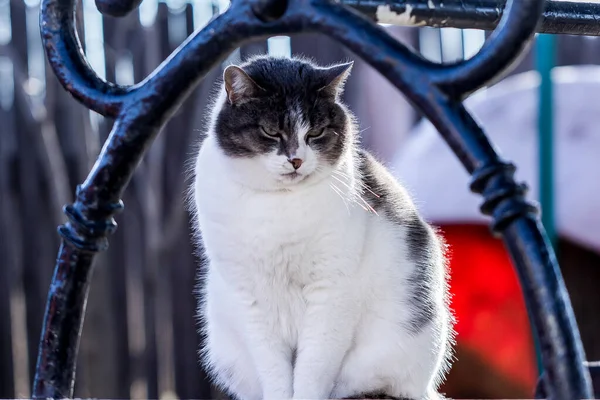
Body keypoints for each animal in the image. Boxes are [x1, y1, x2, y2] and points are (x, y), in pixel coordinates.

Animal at [192, 54, 454, 400]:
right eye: (270, 131)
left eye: (315, 133)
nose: (296, 160)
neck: (280, 203)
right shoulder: (251, 298)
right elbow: (273, 370)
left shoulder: (331, 292)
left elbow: (313, 367)